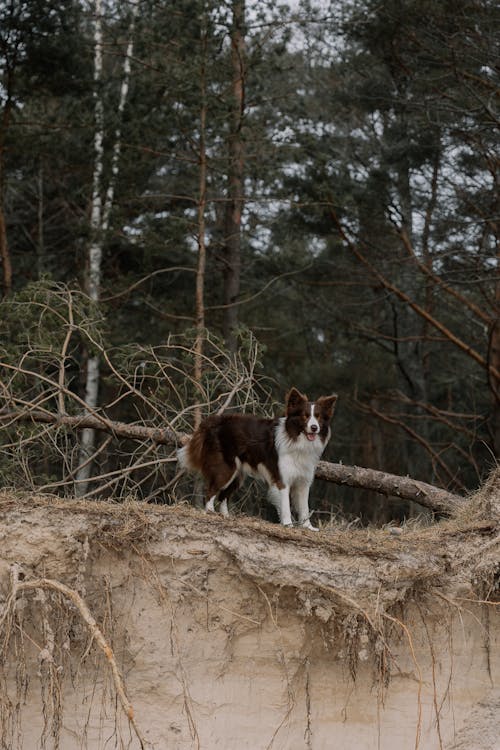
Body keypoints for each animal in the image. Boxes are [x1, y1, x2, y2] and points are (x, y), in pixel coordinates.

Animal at [178, 390, 338, 532]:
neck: (296, 439)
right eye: (305, 416)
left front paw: (308, 527)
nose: (314, 428)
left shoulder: (303, 481)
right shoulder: (282, 480)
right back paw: (210, 511)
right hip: (225, 469)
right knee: (211, 490)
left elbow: (304, 507)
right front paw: (288, 524)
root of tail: (213, 420)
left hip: (237, 475)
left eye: (318, 417)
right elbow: (285, 504)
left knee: (223, 496)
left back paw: (226, 516)